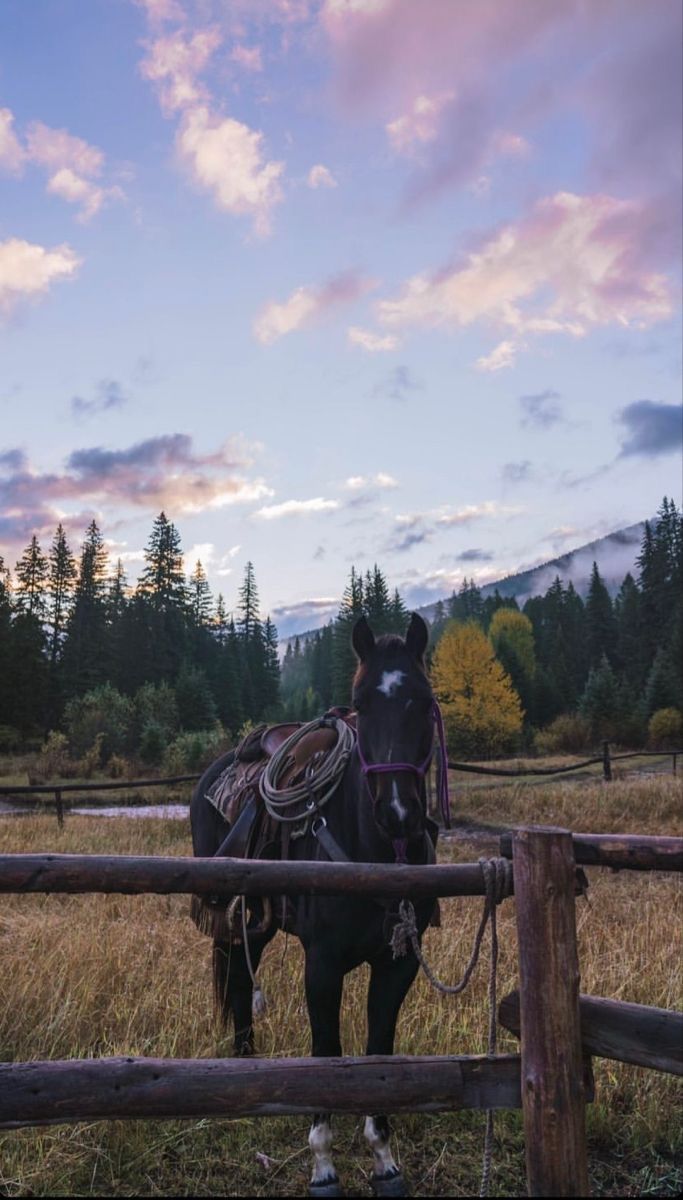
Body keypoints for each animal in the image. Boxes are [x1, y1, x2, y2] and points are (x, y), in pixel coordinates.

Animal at [189, 614, 441, 1195]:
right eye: (361, 704)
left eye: (422, 699)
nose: (398, 813)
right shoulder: (322, 966)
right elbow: (327, 1052)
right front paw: (323, 1164)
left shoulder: (397, 965)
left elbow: (378, 1049)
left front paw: (383, 1157)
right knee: (236, 976)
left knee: (241, 983)